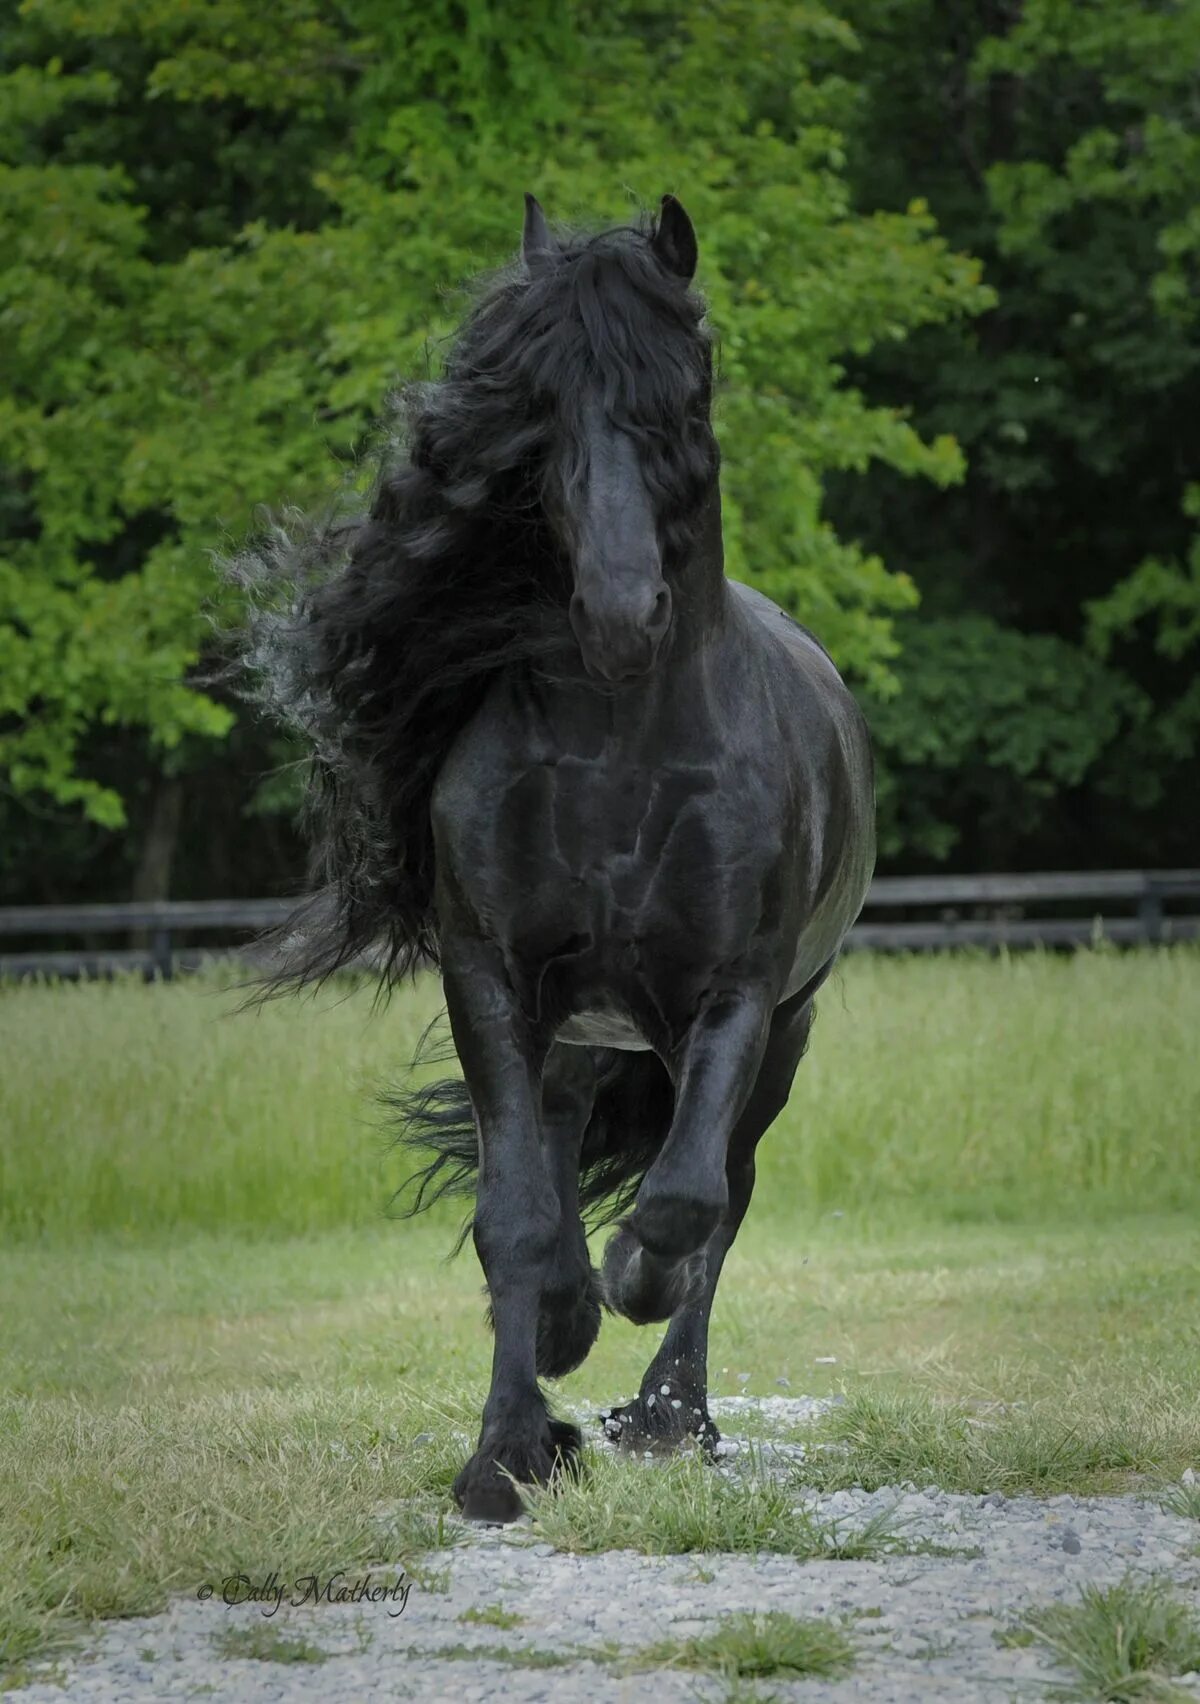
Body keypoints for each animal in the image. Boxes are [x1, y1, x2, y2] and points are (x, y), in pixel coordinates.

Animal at [242, 193, 872, 1526]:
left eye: (684, 394)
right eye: (538, 407)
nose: (621, 617)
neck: (619, 751)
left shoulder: (734, 998)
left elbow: (685, 1203)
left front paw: (625, 1297)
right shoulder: (491, 982)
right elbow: (519, 1221)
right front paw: (510, 1445)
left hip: (781, 1031)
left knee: (725, 1198)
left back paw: (674, 1414)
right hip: (583, 1036)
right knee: (562, 1164)